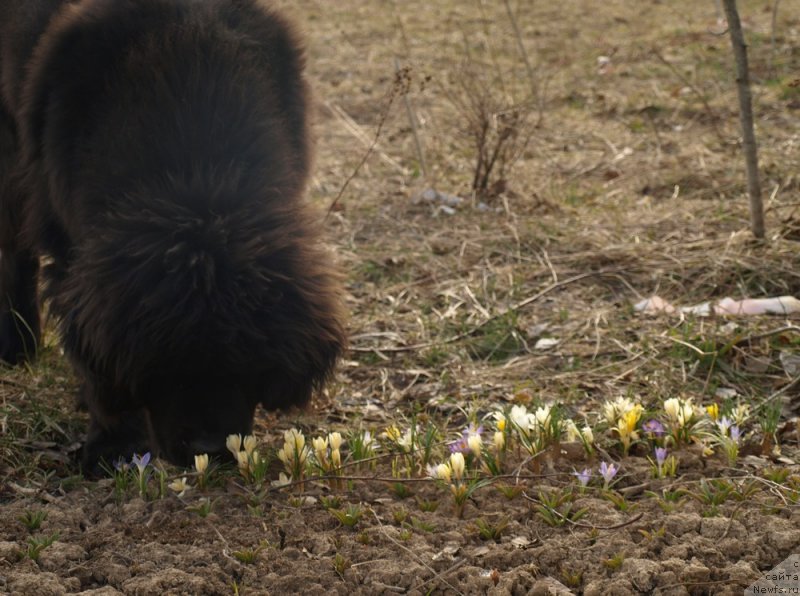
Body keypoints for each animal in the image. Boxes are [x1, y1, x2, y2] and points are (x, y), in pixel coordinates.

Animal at [0, 0, 346, 468]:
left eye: (247, 360)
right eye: (162, 367)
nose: (208, 448)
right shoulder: (66, 234)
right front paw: (114, 443)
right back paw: (18, 347)